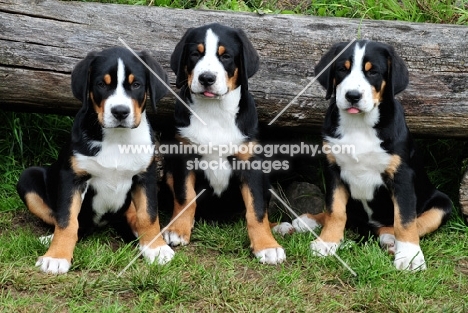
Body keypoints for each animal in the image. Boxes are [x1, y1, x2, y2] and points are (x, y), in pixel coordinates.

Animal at [16, 46, 176, 272]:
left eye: (136, 85)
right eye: (102, 84)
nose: (120, 112)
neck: (117, 138)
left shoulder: (146, 176)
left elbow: (148, 215)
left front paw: (156, 248)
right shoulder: (73, 178)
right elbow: (66, 220)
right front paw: (57, 256)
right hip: (28, 177)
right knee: (74, 225)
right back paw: (50, 239)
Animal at [163, 22, 286, 264]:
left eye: (226, 56)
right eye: (195, 54)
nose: (207, 78)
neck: (214, 112)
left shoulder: (250, 164)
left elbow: (256, 209)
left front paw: (267, 245)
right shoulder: (184, 157)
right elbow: (185, 196)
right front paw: (178, 230)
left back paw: (282, 227)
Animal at [284, 40, 452, 270]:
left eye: (373, 72)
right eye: (342, 69)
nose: (352, 96)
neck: (359, 125)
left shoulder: (401, 176)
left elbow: (405, 220)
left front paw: (410, 257)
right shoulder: (334, 170)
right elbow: (335, 211)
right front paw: (327, 242)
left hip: (442, 204)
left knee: (407, 224)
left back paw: (392, 242)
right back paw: (308, 221)